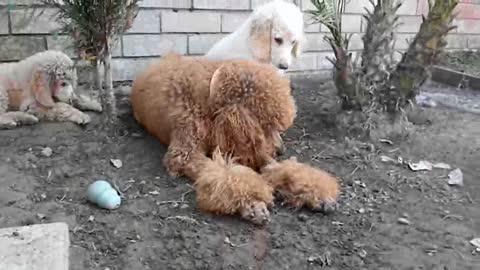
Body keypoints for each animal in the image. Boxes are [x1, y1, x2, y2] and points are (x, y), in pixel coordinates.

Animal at [131, 52, 340, 224]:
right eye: (267, 127)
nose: (281, 151)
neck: (207, 99)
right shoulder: (183, 154)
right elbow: (225, 173)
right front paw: (252, 202)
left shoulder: (253, 148)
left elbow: (276, 168)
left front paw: (314, 194)